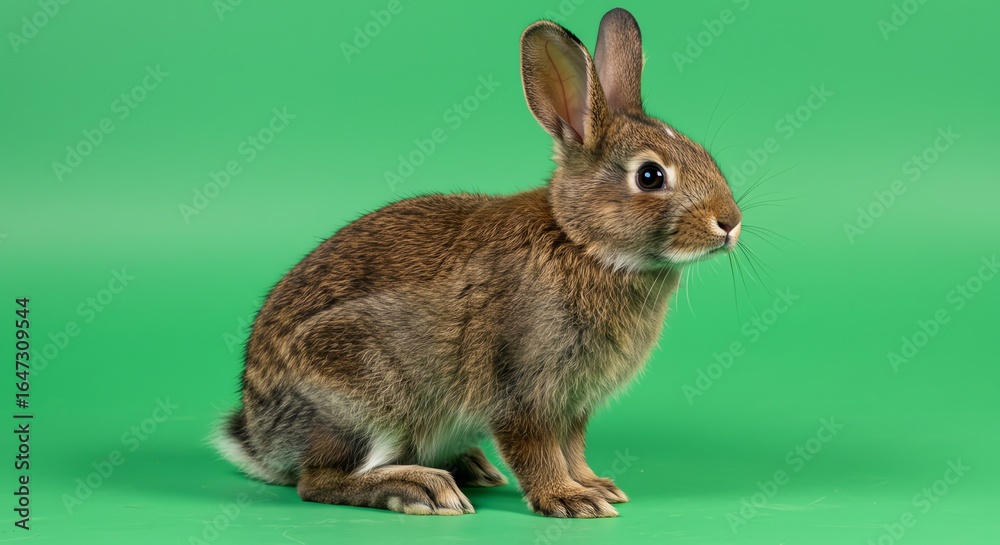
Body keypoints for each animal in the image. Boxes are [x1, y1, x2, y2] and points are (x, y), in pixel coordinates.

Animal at [216, 7, 742, 518]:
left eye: (702, 154)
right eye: (650, 176)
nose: (730, 223)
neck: (581, 241)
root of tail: (260, 438)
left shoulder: (573, 406)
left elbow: (572, 448)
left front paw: (595, 486)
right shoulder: (523, 390)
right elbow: (536, 450)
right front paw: (569, 499)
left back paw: (468, 466)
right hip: (367, 396)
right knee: (319, 481)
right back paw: (420, 488)